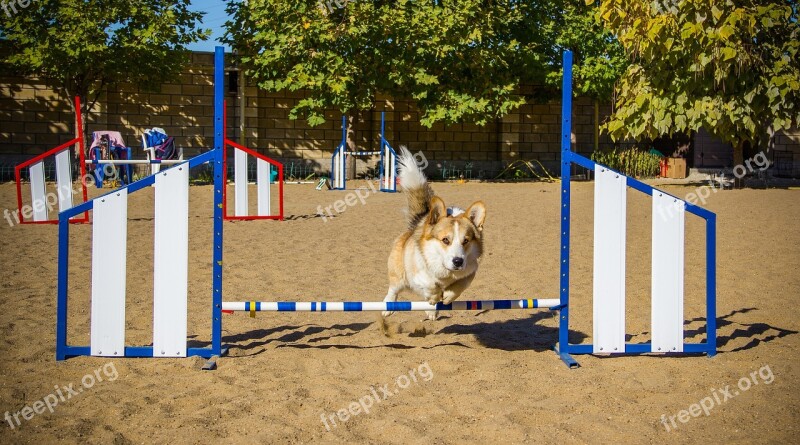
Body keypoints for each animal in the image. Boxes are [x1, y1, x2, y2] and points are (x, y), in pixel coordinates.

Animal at [382, 147, 488, 320]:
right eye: (445, 240)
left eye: (466, 241)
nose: (458, 261)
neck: (447, 272)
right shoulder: (418, 274)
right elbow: (431, 284)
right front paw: (434, 296)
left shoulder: (470, 271)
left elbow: (461, 284)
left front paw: (448, 296)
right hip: (398, 274)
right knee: (394, 288)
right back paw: (388, 306)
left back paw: (432, 310)